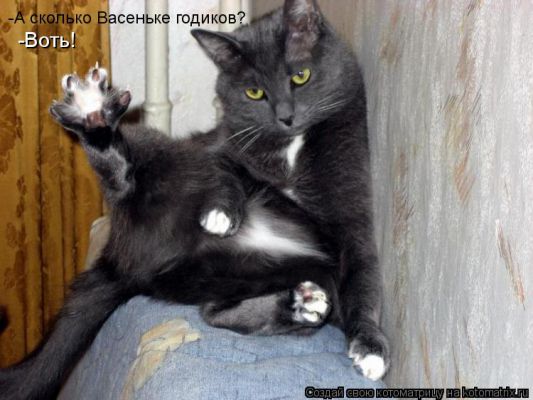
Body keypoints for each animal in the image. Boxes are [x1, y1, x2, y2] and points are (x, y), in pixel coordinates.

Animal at [0, 66, 337, 400]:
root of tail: (118, 260)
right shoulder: (224, 154)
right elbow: (229, 176)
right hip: (158, 154)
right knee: (124, 176)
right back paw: (93, 112)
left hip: (210, 281)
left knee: (220, 314)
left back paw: (302, 304)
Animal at [189, 0, 390, 381]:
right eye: (254, 92)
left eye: (300, 76)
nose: (285, 116)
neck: (291, 148)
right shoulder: (223, 143)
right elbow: (221, 167)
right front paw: (221, 215)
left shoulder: (352, 207)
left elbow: (363, 275)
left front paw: (370, 348)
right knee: (215, 312)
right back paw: (301, 305)